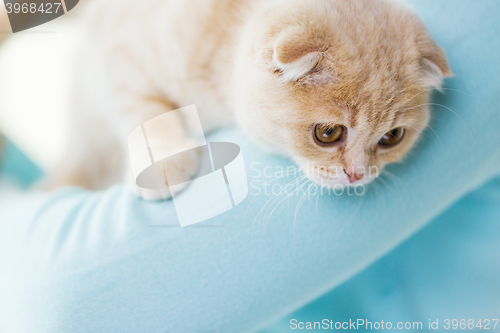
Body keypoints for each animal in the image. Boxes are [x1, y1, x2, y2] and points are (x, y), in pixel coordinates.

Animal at [43, 0, 452, 200]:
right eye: (328, 133)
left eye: (391, 138)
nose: (357, 175)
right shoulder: (116, 57)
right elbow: (145, 111)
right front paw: (165, 163)